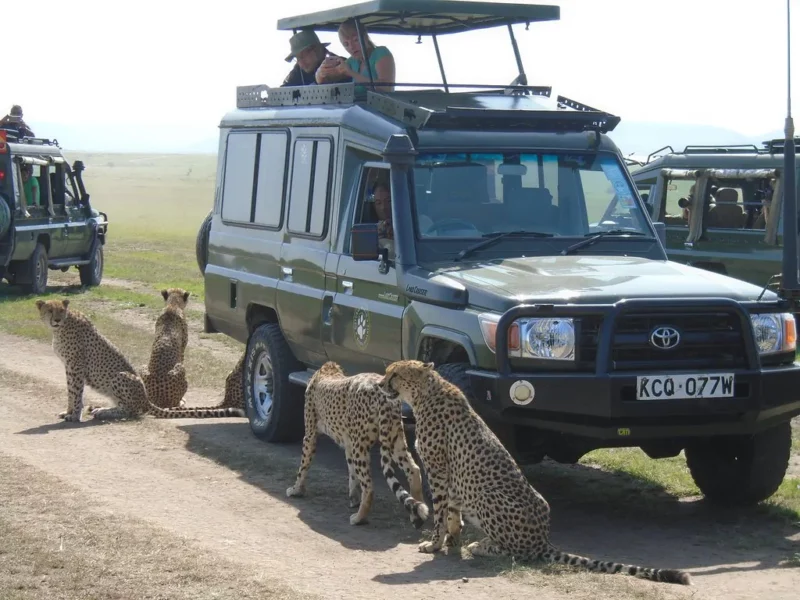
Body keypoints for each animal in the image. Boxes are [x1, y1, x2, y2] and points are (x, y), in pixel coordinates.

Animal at [34, 296, 245, 420]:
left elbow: (76, 392)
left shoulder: (76, 366)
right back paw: (100, 409)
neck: (61, 327)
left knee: (132, 410)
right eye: (50, 310)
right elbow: (71, 391)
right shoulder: (69, 367)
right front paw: (68, 411)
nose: (56, 319)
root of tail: (146, 398)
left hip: (119, 377)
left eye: (61, 310)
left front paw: (74, 415)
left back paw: (103, 412)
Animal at [284, 358, 428, 528]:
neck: (328, 371)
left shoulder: (310, 435)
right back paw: (417, 516)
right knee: (414, 470)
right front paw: (353, 498)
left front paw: (296, 490)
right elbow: (352, 471)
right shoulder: (349, 443)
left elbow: (303, 466)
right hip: (394, 439)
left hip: (362, 445)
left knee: (369, 486)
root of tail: (382, 393)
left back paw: (359, 518)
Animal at [378, 360, 692, 584]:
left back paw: (483, 546)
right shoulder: (449, 475)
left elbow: (441, 511)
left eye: (394, 374)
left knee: (520, 552)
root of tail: (543, 540)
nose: (380, 384)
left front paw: (434, 544)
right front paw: (451, 542)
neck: (425, 393)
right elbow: (453, 513)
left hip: (488, 495)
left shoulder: (438, 470)